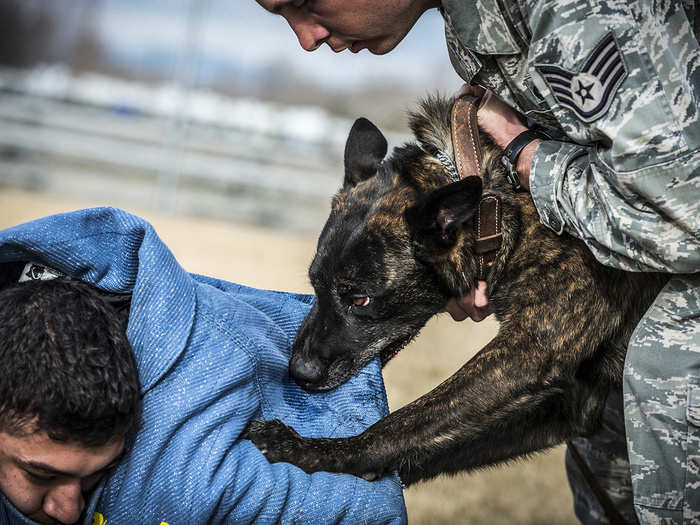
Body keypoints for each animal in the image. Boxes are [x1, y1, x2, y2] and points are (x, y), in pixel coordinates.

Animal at [243, 96, 664, 486]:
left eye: (361, 299)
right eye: (315, 283)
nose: (299, 372)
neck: (497, 212)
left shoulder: (526, 355)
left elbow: (404, 424)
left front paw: (310, 449)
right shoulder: (574, 404)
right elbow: (426, 446)